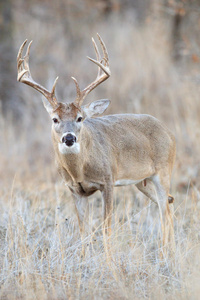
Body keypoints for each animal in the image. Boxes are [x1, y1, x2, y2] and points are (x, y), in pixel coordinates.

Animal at [18, 34, 176, 244]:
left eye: (80, 118)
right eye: (55, 119)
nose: (69, 138)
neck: (79, 170)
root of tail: (169, 133)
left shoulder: (108, 181)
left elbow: (106, 229)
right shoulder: (74, 190)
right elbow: (83, 231)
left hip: (163, 172)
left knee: (165, 213)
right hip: (142, 181)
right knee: (169, 205)